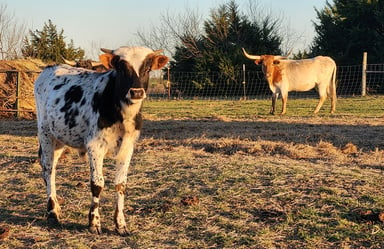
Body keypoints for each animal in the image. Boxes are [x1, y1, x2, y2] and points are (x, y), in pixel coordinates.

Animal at [33, 46, 169, 235]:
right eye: (121, 68)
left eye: (148, 68)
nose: (136, 92)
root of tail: (49, 68)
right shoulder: (95, 147)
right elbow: (97, 184)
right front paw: (94, 222)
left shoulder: (127, 148)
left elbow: (121, 184)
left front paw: (120, 224)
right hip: (45, 133)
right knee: (48, 170)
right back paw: (52, 213)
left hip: (59, 138)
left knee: (52, 168)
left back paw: (57, 208)